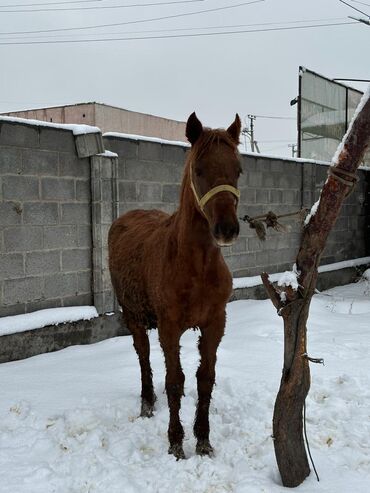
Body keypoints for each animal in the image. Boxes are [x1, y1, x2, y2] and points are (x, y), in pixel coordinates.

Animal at [108, 111, 243, 458]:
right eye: (199, 170)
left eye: (238, 170)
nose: (227, 229)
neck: (196, 267)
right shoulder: (169, 326)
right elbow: (174, 381)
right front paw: (176, 442)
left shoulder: (215, 323)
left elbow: (205, 378)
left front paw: (203, 440)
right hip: (133, 316)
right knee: (143, 356)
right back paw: (146, 403)